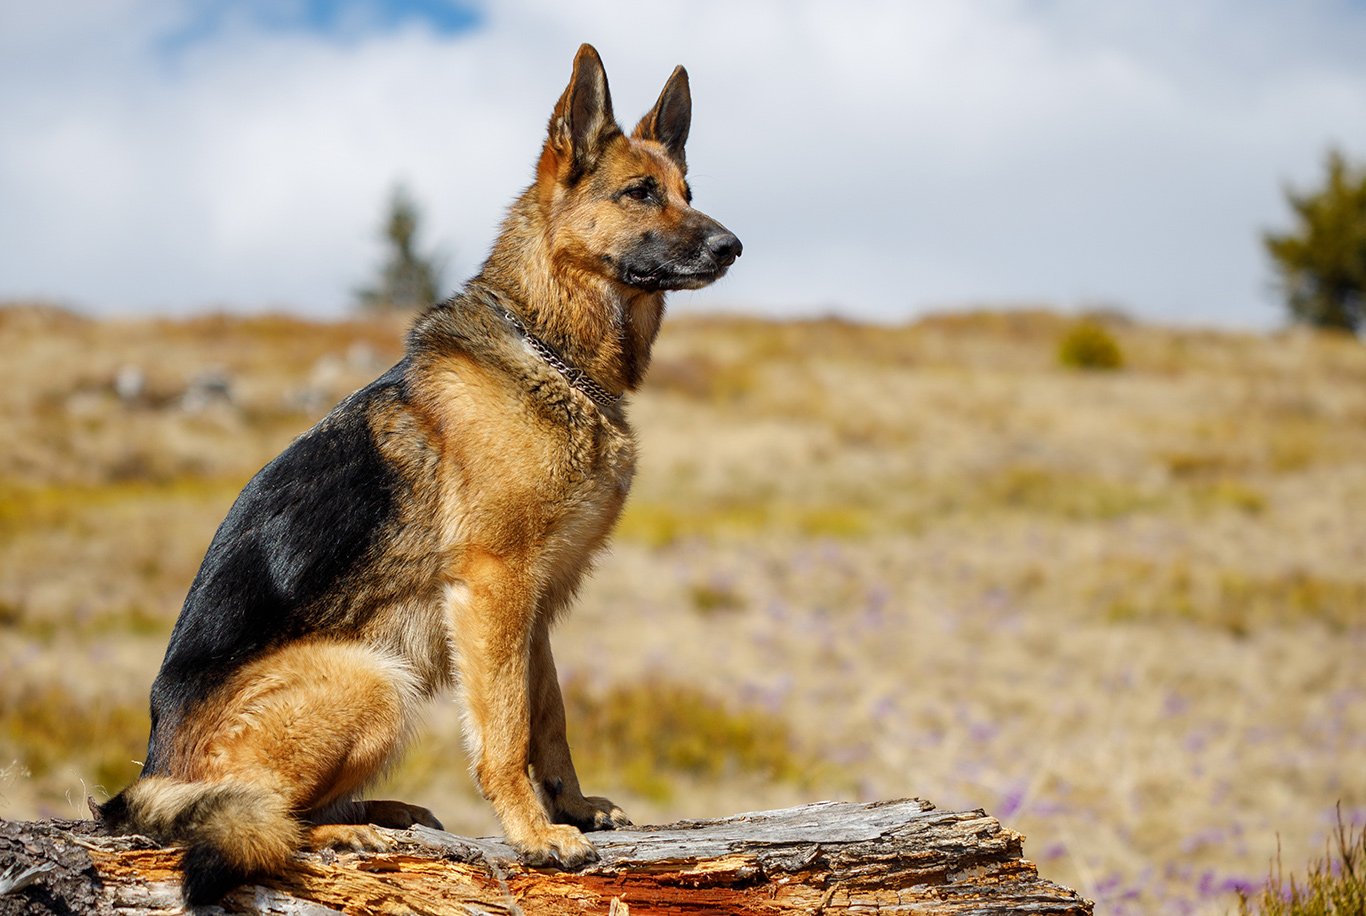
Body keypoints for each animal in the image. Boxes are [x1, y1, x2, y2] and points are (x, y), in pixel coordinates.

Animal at [94, 43, 743, 900]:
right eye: (640, 193)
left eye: (687, 193)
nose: (733, 247)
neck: (552, 350)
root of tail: (150, 776)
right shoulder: (494, 588)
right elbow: (505, 732)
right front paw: (534, 834)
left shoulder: (534, 603)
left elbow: (549, 717)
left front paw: (569, 808)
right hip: (376, 678)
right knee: (263, 815)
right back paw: (352, 830)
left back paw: (385, 812)